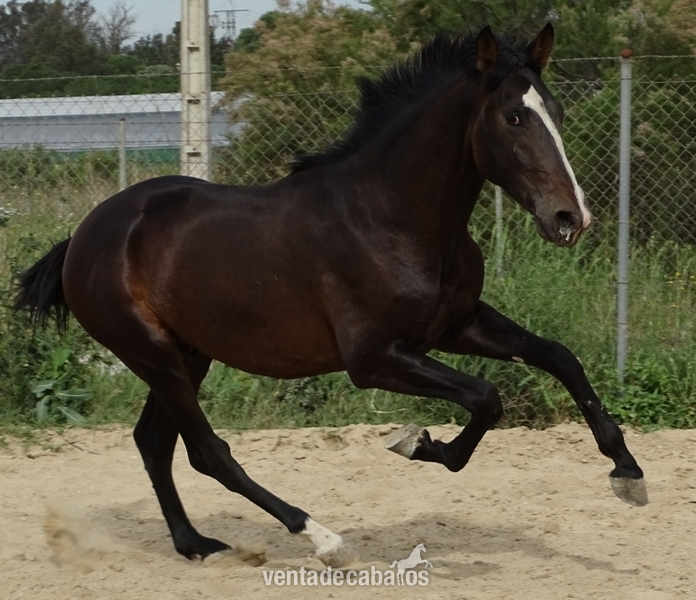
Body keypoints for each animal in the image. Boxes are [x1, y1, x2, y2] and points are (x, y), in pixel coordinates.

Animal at [13, 24, 647, 568]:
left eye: (557, 112)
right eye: (514, 116)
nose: (570, 218)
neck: (393, 217)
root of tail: (83, 236)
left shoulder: (456, 324)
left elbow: (558, 357)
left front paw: (628, 473)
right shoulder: (372, 359)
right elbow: (486, 397)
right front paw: (417, 444)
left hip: (188, 354)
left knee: (154, 442)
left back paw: (195, 545)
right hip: (152, 354)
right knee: (207, 450)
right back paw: (322, 538)